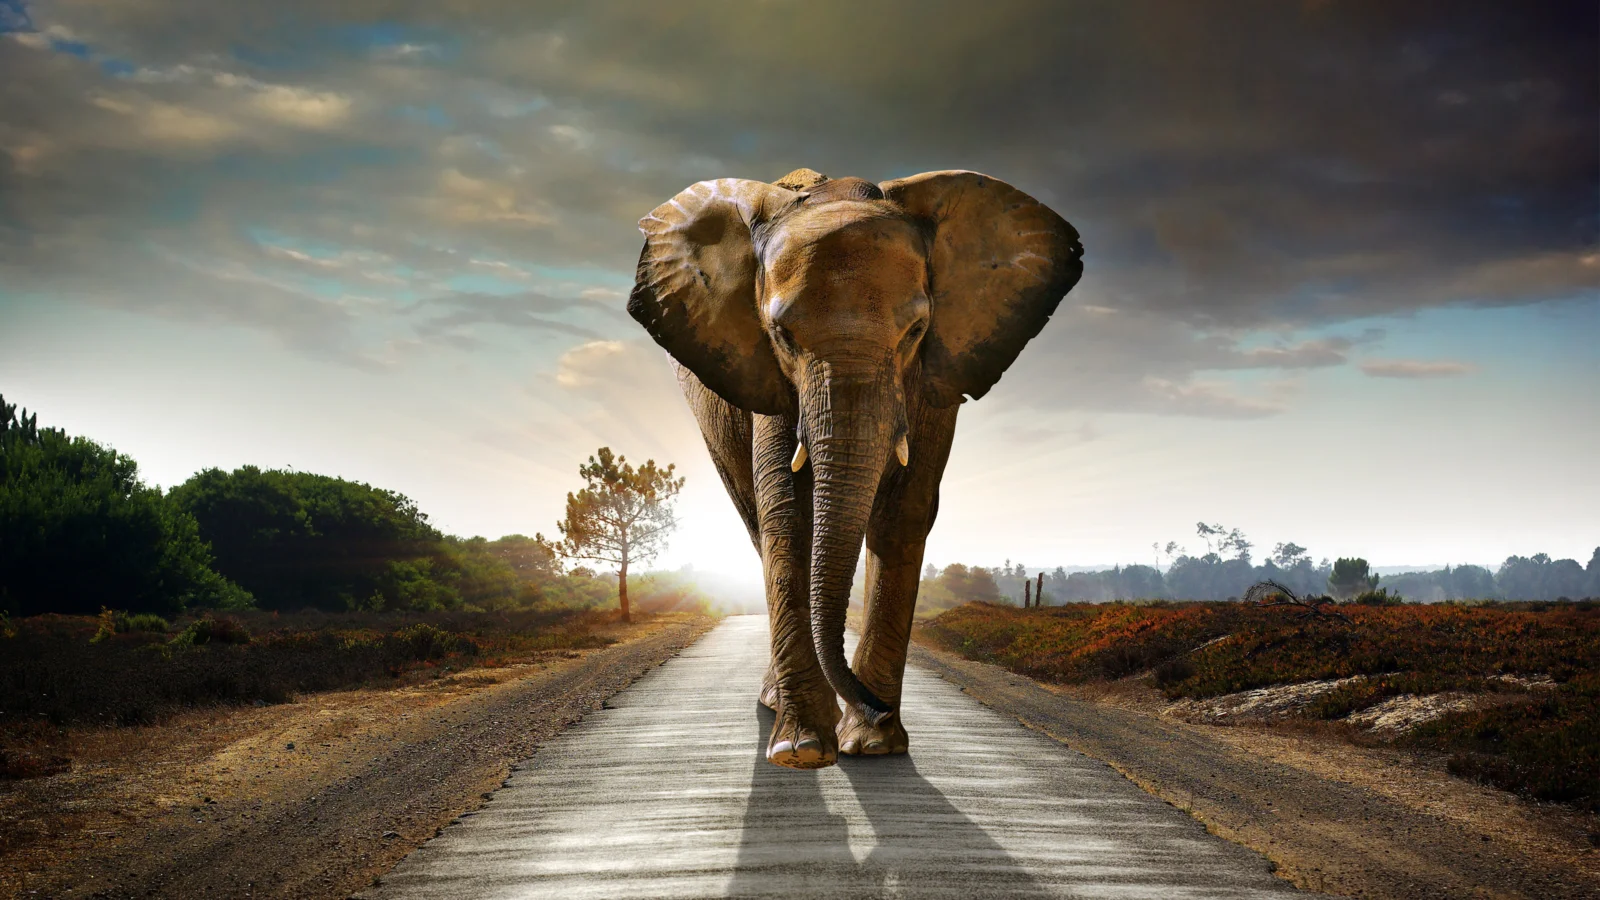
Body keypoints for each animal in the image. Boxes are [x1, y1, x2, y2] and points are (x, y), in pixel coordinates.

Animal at [628, 167, 1083, 769]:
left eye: (916, 331)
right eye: (782, 335)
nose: (875, 706)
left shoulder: (934, 377)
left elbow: (904, 512)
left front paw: (873, 744)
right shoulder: (769, 379)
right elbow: (788, 512)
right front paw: (802, 750)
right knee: (756, 521)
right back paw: (778, 706)